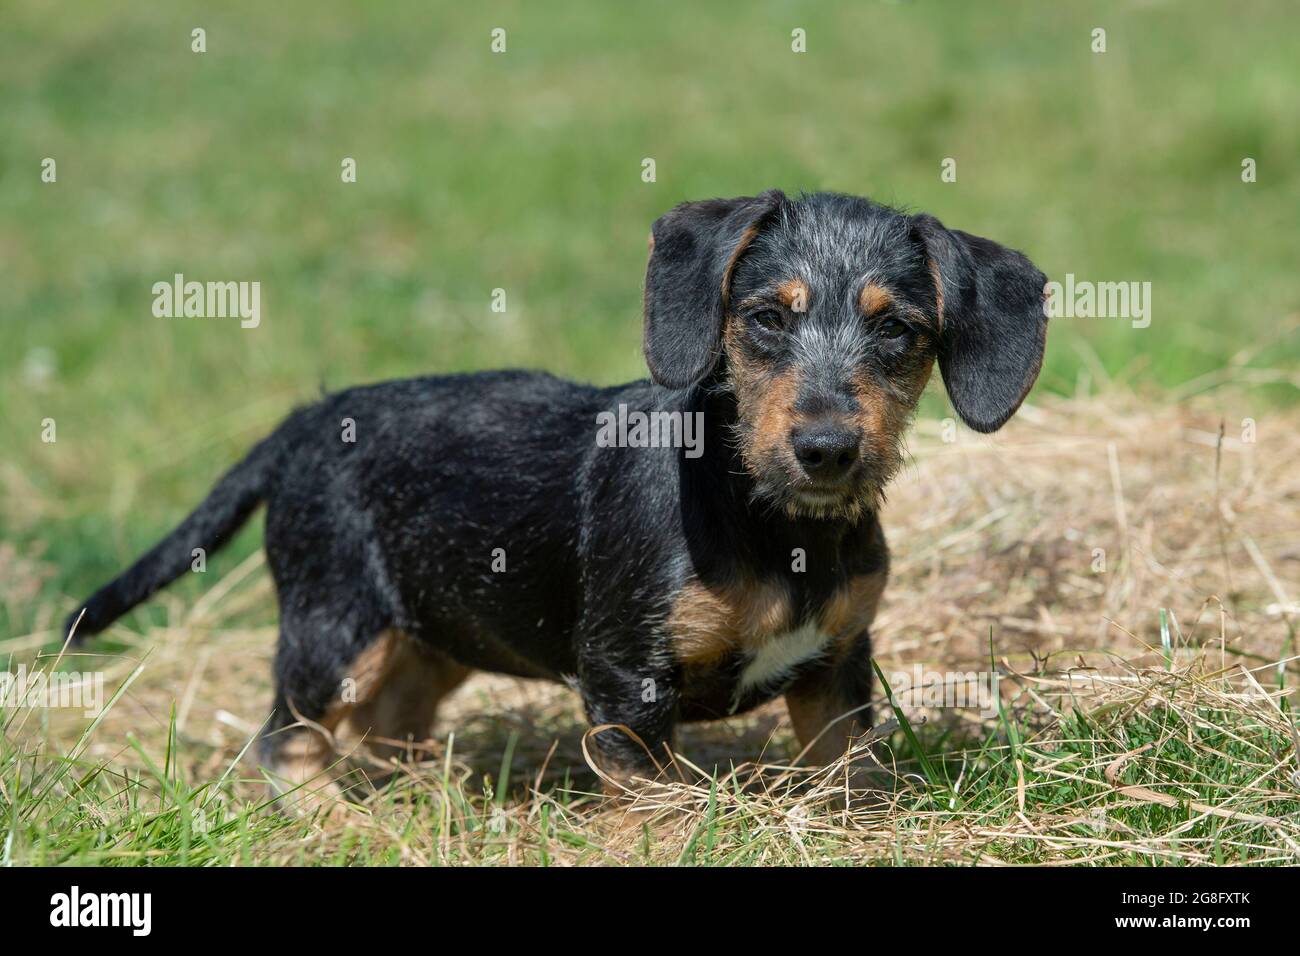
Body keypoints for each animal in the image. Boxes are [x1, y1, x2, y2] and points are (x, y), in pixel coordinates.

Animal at [68, 191, 1045, 796]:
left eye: (898, 330)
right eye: (768, 316)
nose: (827, 450)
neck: (770, 523)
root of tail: (309, 419)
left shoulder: (839, 667)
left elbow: (846, 777)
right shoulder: (626, 681)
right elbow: (652, 803)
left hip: (437, 628)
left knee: (386, 722)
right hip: (334, 626)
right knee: (287, 738)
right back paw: (332, 821)